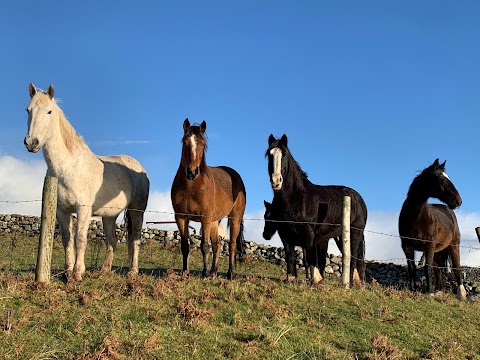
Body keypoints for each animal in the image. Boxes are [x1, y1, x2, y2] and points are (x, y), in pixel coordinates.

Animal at [23, 84, 148, 282]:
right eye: (28, 110)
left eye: (49, 111)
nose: (31, 142)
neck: (68, 167)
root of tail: (138, 167)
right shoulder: (62, 211)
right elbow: (67, 239)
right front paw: (68, 273)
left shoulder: (83, 210)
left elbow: (80, 239)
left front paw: (77, 274)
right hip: (109, 215)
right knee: (112, 240)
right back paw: (104, 271)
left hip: (137, 211)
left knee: (135, 239)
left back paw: (133, 272)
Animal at [171, 119, 246, 280]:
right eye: (184, 142)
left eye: (203, 144)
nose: (192, 172)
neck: (192, 186)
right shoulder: (181, 217)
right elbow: (185, 246)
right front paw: (185, 273)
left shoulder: (205, 218)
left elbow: (204, 246)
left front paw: (204, 273)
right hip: (214, 221)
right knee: (217, 245)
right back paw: (213, 272)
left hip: (234, 218)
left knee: (231, 245)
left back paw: (229, 273)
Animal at [266, 134, 368, 286]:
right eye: (269, 154)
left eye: (285, 155)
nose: (276, 181)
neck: (296, 198)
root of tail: (359, 198)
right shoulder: (285, 234)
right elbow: (290, 256)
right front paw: (291, 279)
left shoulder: (310, 235)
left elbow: (310, 257)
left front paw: (316, 280)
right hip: (340, 236)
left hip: (355, 233)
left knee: (353, 256)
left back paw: (349, 282)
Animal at [398, 159, 464, 300]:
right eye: (440, 179)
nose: (458, 202)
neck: (416, 217)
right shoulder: (407, 246)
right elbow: (412, 268)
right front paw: (413, 290)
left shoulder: (429, 246)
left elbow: (427, 269)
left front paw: (429, 292)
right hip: (437, 252)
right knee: (438, 270)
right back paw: (439, 290)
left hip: (453, 246)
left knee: (456, 268)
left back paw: (461, 294)